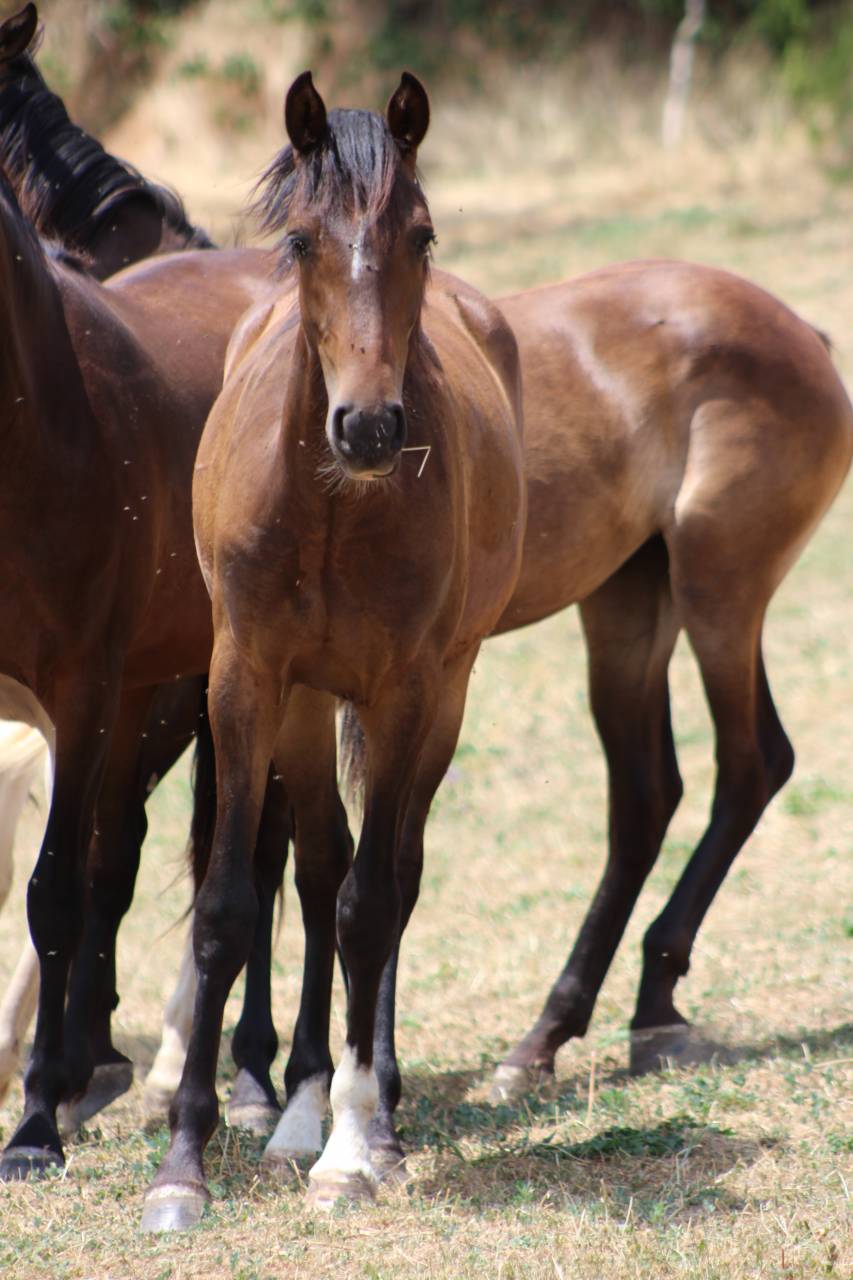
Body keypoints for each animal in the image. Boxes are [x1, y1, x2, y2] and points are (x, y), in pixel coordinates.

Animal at [140, 69, 526, 1231]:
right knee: (317, 867)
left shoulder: (405, 692)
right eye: (304, 240)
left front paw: (356, 1151)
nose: (366, 426)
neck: (329, 505)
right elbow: (231, 907)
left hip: (439, 696)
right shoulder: (245, 680)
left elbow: (370, 904)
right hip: (307, 706)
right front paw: (184, 1162)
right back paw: (301, 1109)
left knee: (388, 876)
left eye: (422, 232)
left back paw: (371, 1110)